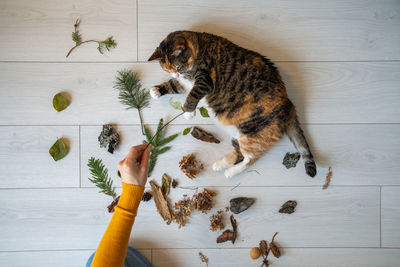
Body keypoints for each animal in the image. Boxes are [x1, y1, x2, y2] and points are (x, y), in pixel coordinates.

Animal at [147, 30, 316, 179]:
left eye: (178, 67)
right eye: (167, 69)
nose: (176, 73)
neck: (199, 47)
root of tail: (289, 103)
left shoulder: (204, 81)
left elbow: (192, 95)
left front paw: (188, 112)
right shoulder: (184, 83)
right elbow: (174, 85)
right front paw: (156, 90)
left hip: (251, 135)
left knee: (251, 158)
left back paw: (230, 172)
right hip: (237, 133)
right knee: (239, 153)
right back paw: (220, 165)